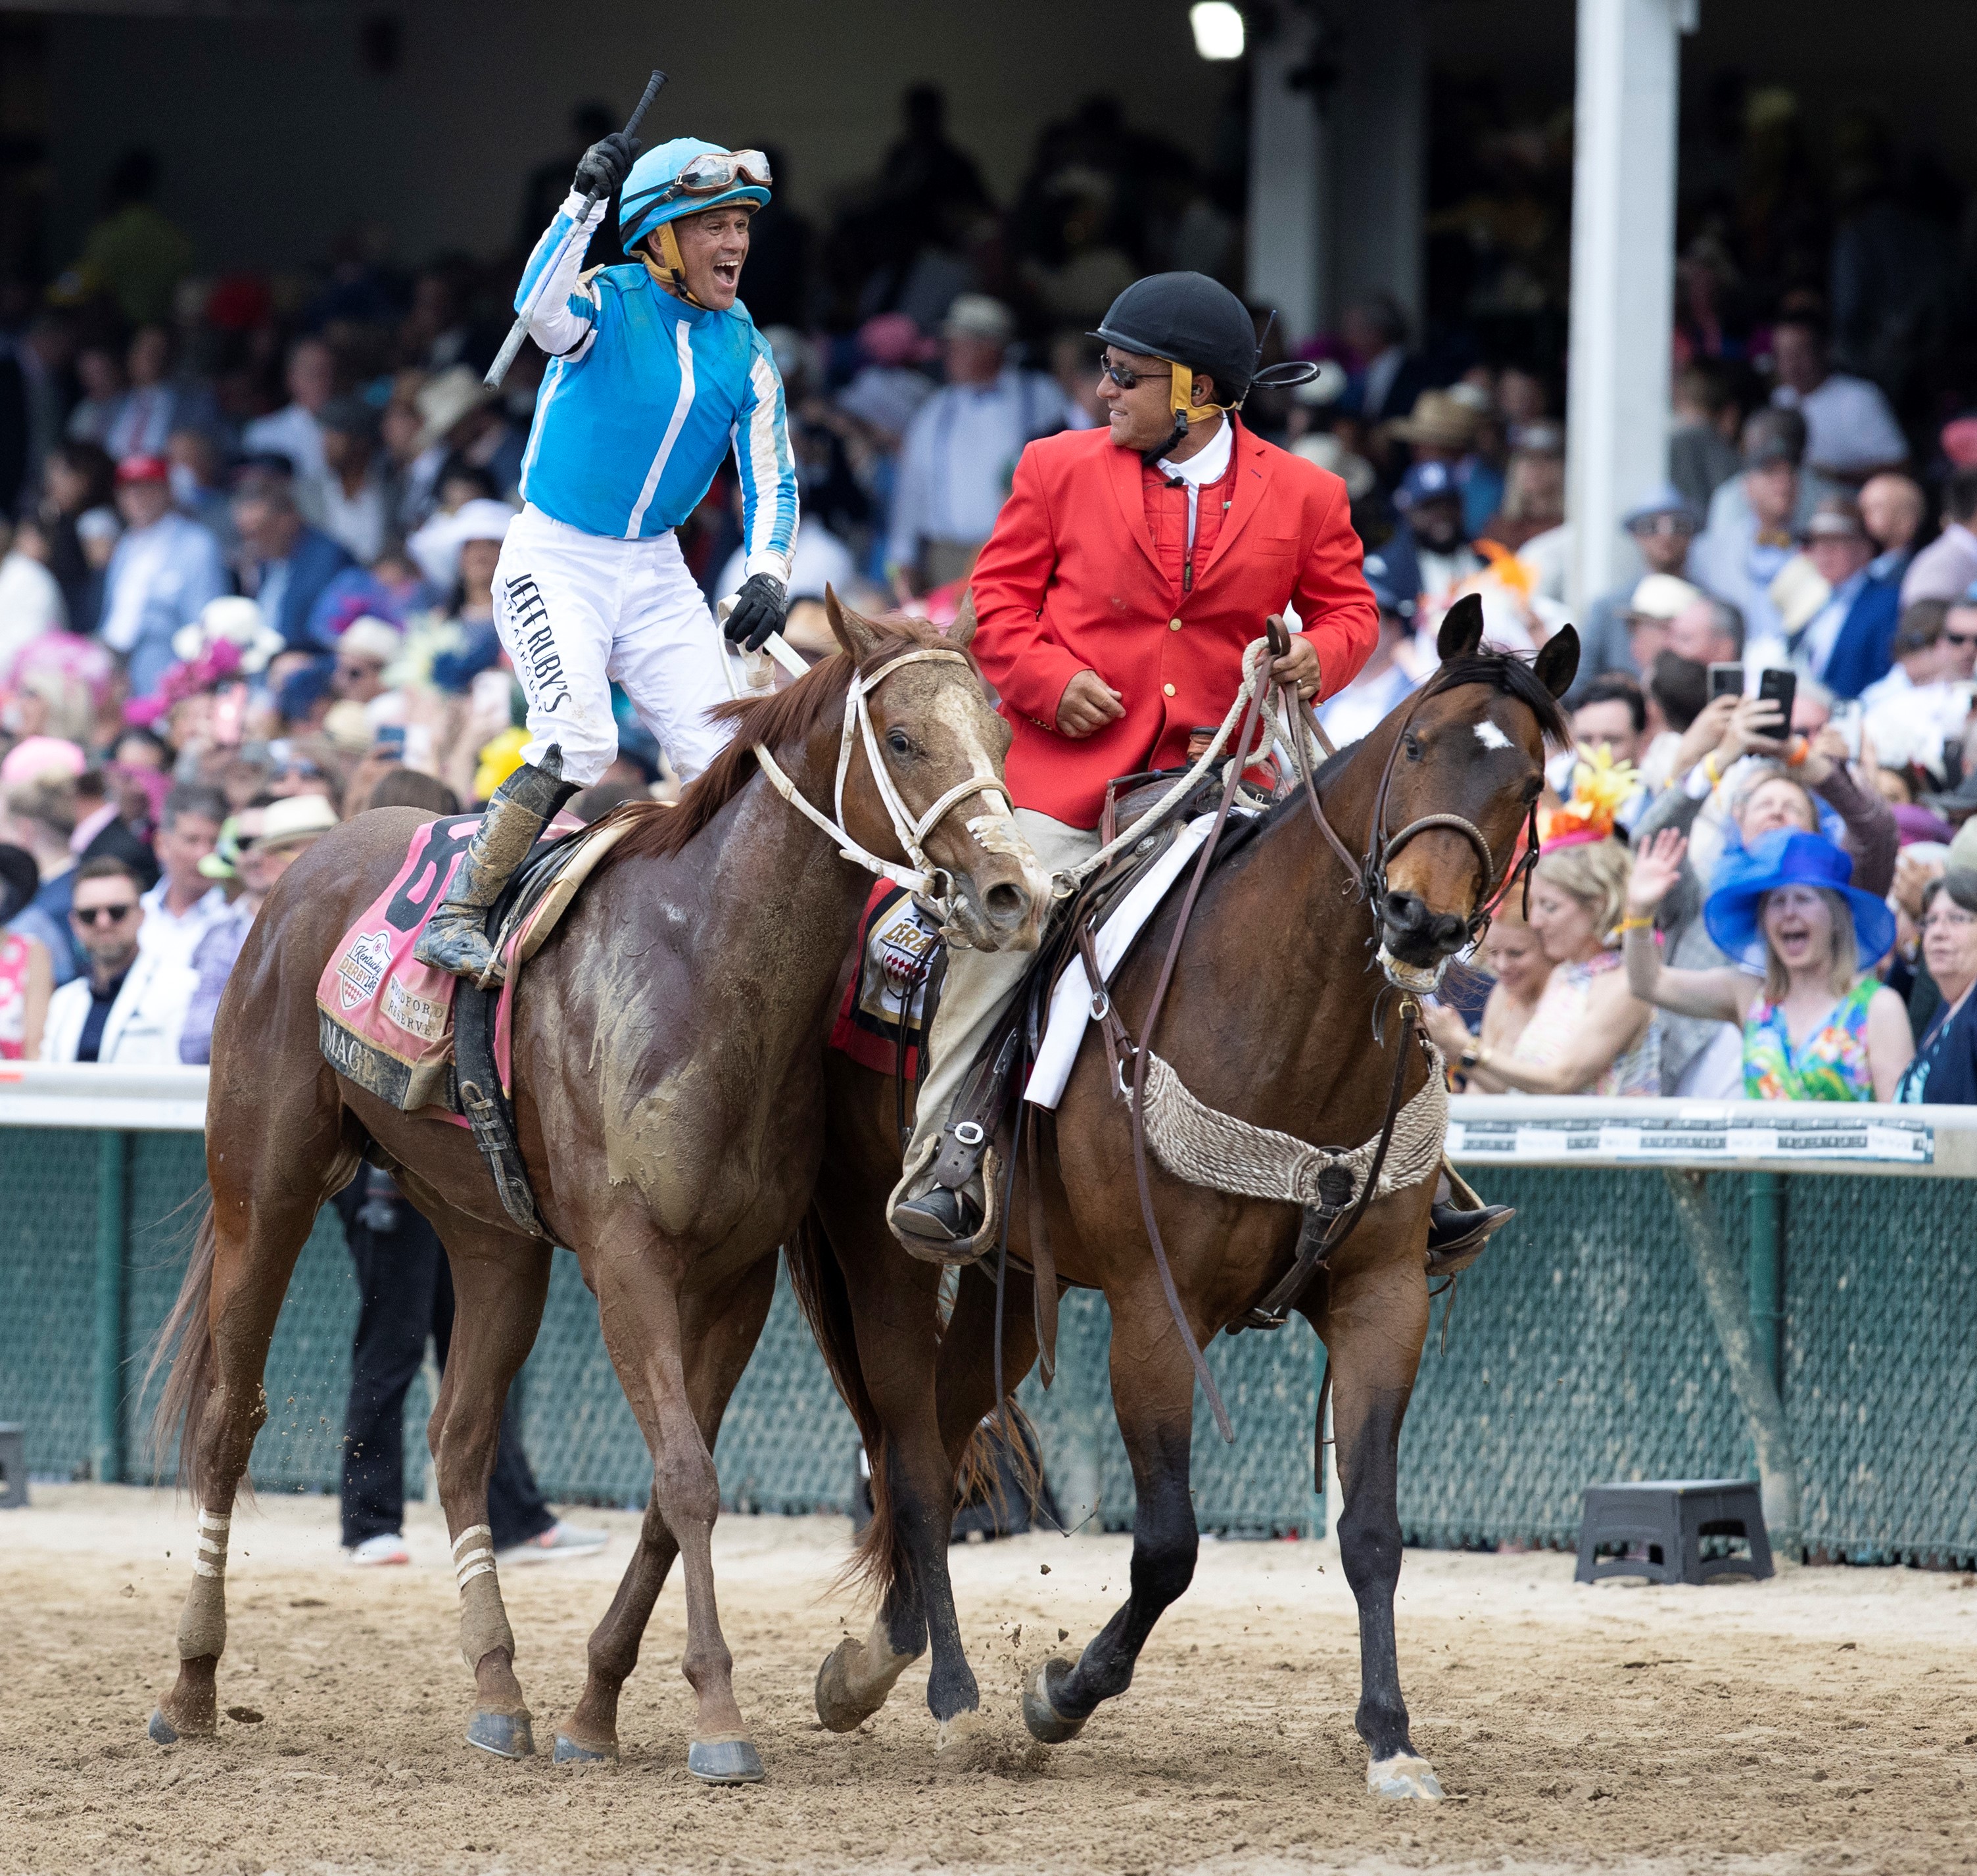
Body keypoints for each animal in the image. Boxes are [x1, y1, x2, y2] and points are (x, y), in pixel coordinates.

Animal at [144, 600, 1043, 1787]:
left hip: (491, 1238)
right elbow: (689, 1476)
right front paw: (717, 1717)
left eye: (1000, 733)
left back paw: (498, 1693)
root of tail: (304, 865)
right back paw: (190, 1684)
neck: (705, 969)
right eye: (902, 739)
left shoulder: (732, 1277)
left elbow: (672, 1484)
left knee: (460, 1436)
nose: (1013, 890)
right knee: (227, 1417)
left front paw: (594, 1706)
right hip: (264, 1184)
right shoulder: (628, 1258)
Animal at [786, 608, 1573, 1794]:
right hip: (880, 1248)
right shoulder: (1154, 1312)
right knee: (914, 1453)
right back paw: (937, 1692)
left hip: (1011, 1280)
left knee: (947, 1424)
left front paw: (1390, 1736)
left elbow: (1372, 1531)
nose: (1417, 920)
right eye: (1417, 744)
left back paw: (878, 1655)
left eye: (1526, 779)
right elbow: (1168, 1544)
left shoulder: (1382, 1297)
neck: (1282, 1016)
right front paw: (1059, 1693)